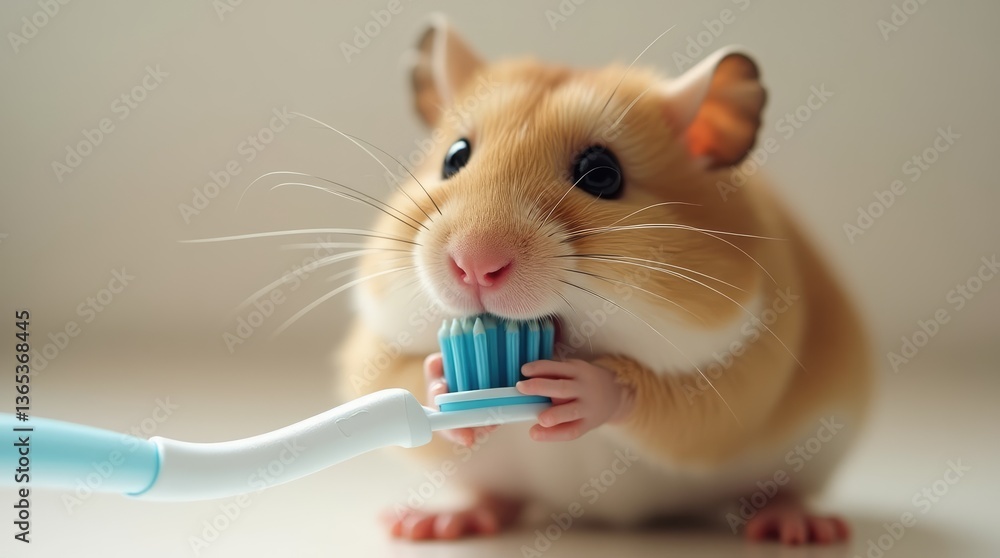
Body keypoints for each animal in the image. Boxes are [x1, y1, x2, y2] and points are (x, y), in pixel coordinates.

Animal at [337, 17, 871, 545]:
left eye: (601, 173)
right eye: (455, 157)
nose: (474, 265)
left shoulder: (748, 363)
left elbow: (676, 405)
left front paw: (576, 389)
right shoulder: (373, 348)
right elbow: (399, 374)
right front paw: (441, 379)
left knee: (780, 491)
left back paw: (800, 526)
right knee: (493, 496)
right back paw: (434, 521)